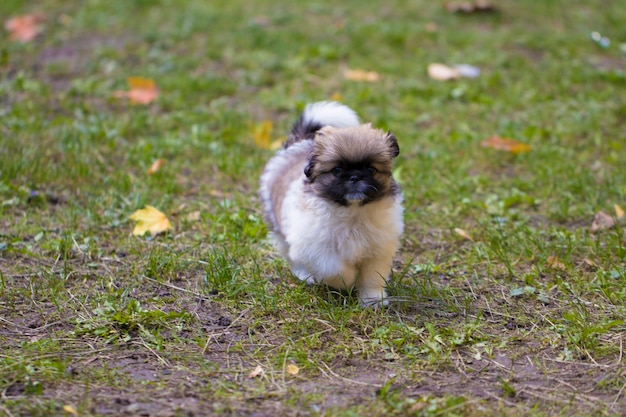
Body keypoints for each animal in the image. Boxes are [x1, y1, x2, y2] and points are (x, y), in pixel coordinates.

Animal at [260, 101, 402, 306]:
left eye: (371, 169)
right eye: (337, 170)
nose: (355, 177)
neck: (353, 213)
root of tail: (299, 142)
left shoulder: (377, 250)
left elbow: (372, 277)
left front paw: (372, 300)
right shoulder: (317, 251)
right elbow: (336, 270)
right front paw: (347, 282)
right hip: (281, 231)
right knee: (292, 257)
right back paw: (305, 275)